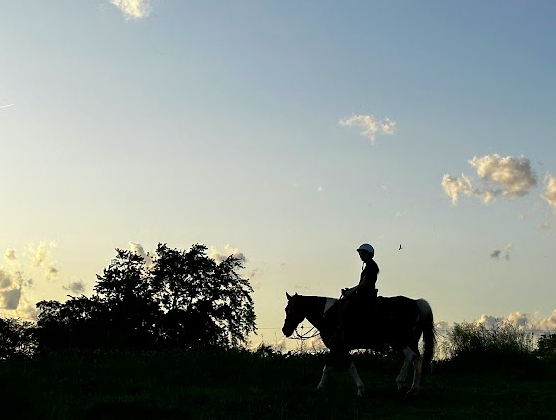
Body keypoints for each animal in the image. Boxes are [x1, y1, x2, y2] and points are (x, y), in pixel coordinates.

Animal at [282, 292, 434, 398]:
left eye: (289, 309)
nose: (285, 330)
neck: (328, 315)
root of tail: (416, 303)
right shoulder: (336, 348)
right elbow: (328, 368)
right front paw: (318, 389)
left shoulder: (340, 347)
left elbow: (349, 367)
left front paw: (361, 390)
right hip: (411, 341)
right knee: (417, 359)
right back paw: (413, 390)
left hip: (399, 341)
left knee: (410, 357)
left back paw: (400, 384)